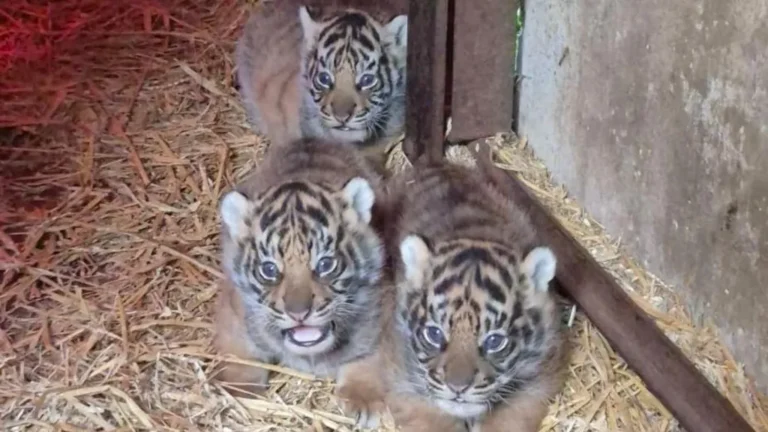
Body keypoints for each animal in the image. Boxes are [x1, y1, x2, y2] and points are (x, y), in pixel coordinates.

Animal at [212, 137, 387, 397]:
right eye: (269, 270)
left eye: (325, 264)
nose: (298, 313)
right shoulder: (233, 314)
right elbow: (240, 357)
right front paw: (240, 391)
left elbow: (369, 356)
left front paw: (360, 397)